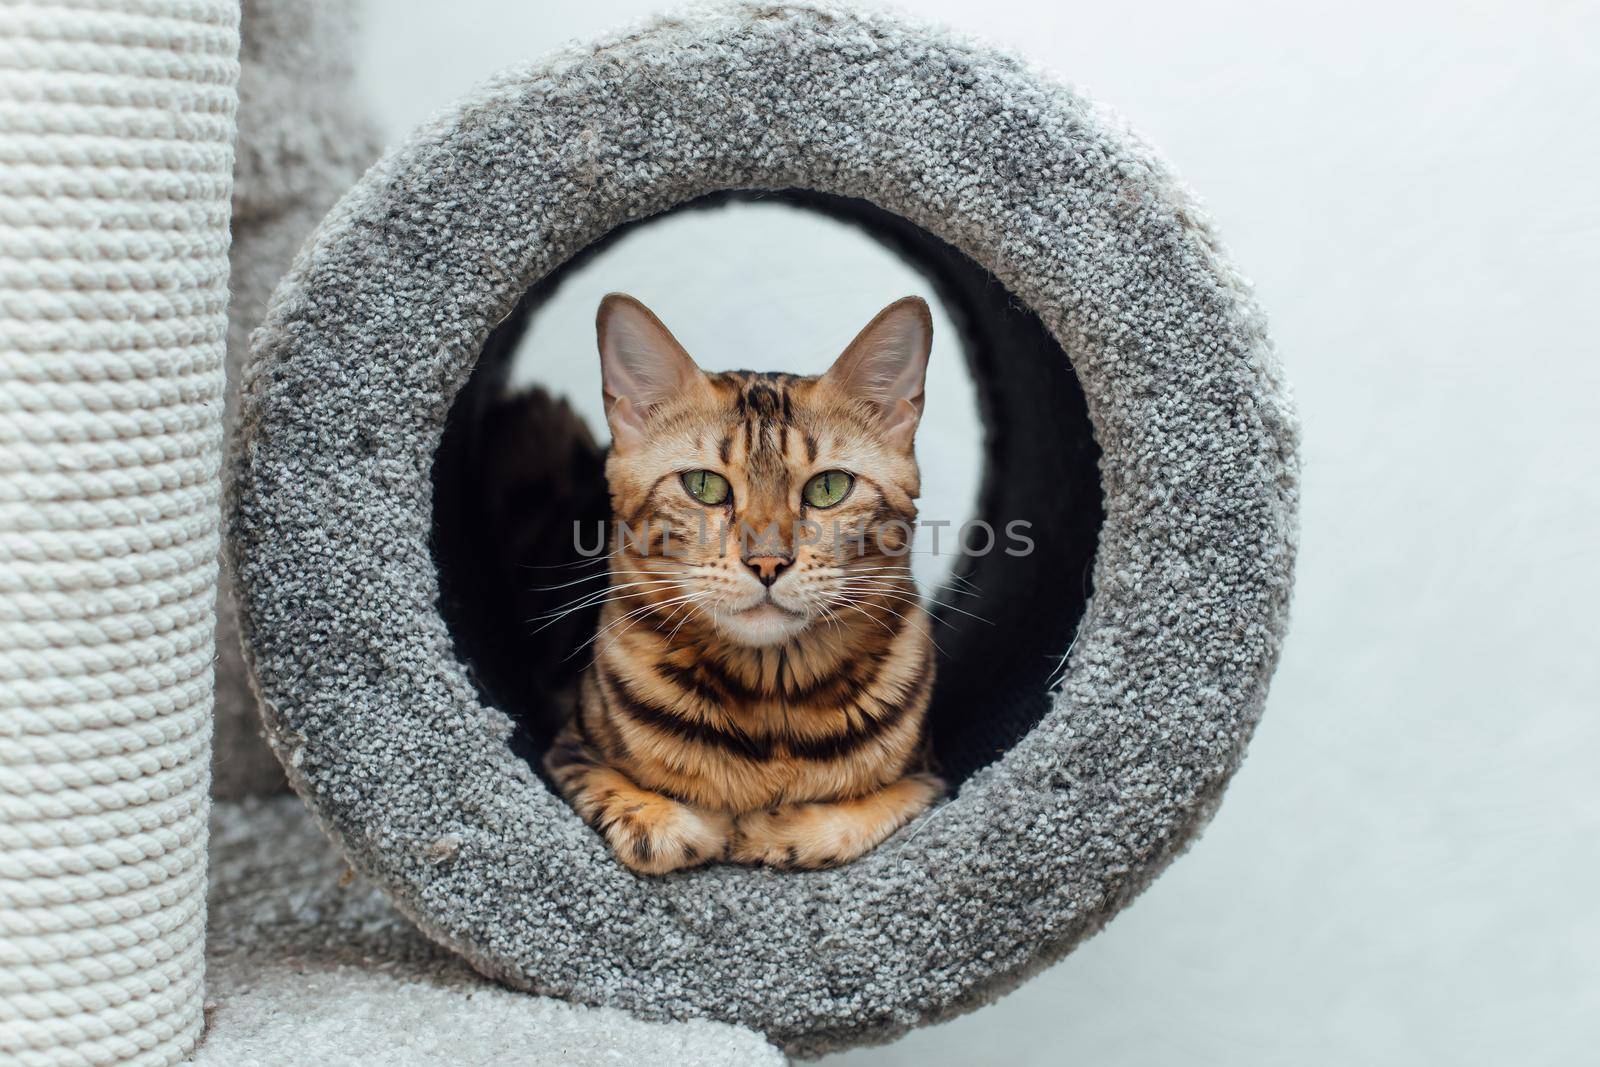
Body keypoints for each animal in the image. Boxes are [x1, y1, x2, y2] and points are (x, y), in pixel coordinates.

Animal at [547, 294, 947, 876]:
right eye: (704, 485)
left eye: (829, 488)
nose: (767, 561)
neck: (769, 700)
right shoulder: (566, 749)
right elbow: (630, 800)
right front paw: (672, 822)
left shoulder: (930, 774)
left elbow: (867, 810)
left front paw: (775, 830)